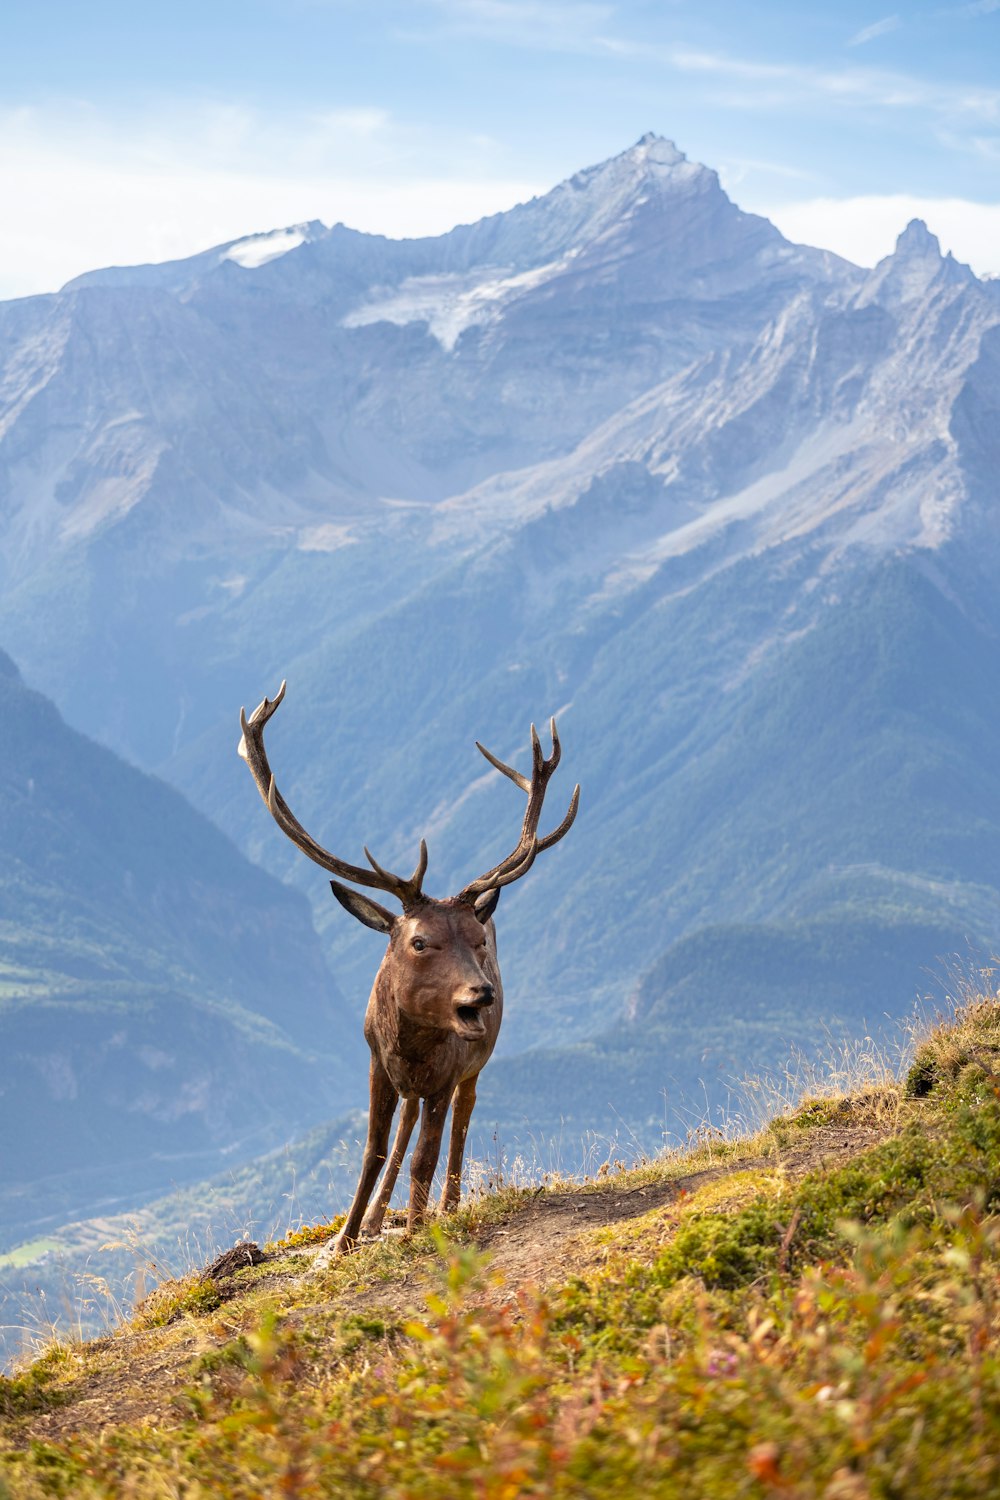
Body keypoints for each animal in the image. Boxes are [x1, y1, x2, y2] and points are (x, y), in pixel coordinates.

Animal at [238, 687, 578, 1248]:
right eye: (420, 942)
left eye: (477, 942)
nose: (482, 992)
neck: (411, 1043)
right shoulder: (376, 1060)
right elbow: (374, 1151)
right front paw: (346, 1239)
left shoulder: (447, 1072)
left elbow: (427, 1154)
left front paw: (419, 1231)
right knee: (406, 1123)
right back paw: (379, 1219)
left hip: (473, 1068)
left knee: (459, 1121)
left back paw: (444, 1206)